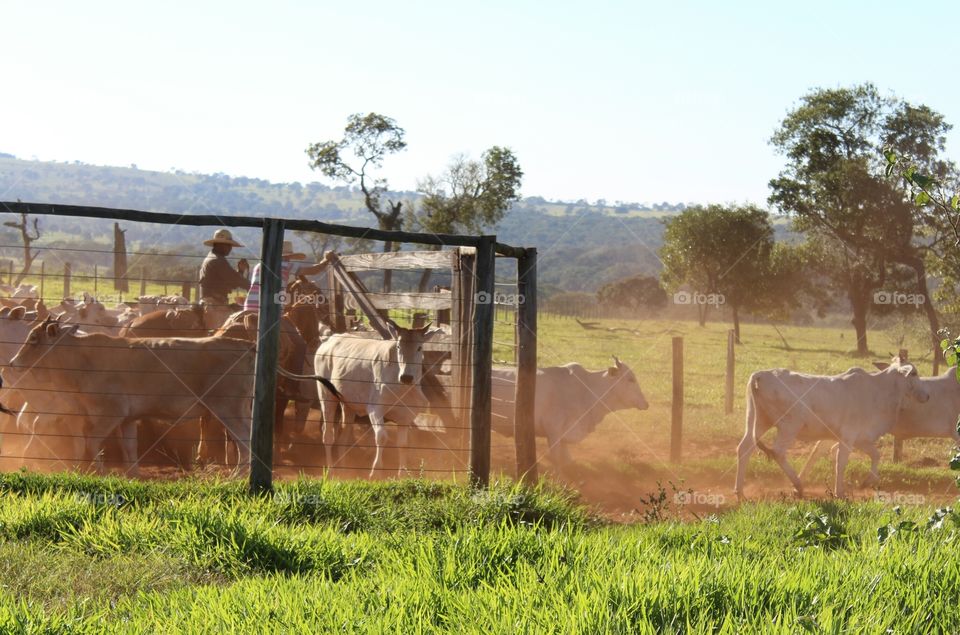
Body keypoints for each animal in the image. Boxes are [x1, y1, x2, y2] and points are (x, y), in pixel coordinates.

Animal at [4, 318, 256, 475]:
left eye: (34, 338)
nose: (13, 362)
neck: (84, 358)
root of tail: (245, 346)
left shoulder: (110, 414)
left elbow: (91, 441)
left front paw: (99, 471)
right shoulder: (128, 419)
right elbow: (129, 447)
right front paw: (133, 474)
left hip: (228, 410)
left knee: (244, 440)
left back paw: (237, 475)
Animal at [490, 356, 649, 469]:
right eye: (630, 379)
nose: (646, 403)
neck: (586, 390)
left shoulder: (564, 436)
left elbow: (567, 461)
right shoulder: (553, 431)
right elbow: (557, 461)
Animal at [735, 361, 930, 499]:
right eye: (914, 373)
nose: (927, 396)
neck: (879, 391)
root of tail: (760, 375)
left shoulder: (861, 438)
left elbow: (876, 455)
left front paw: (867, 482)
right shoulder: (848, 437)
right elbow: (841, 462)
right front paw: (839, 492)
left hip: (757, 420)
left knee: (745, 448)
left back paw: (740, 491)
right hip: (789, 426)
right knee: (778, 452)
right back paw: (798, 484)